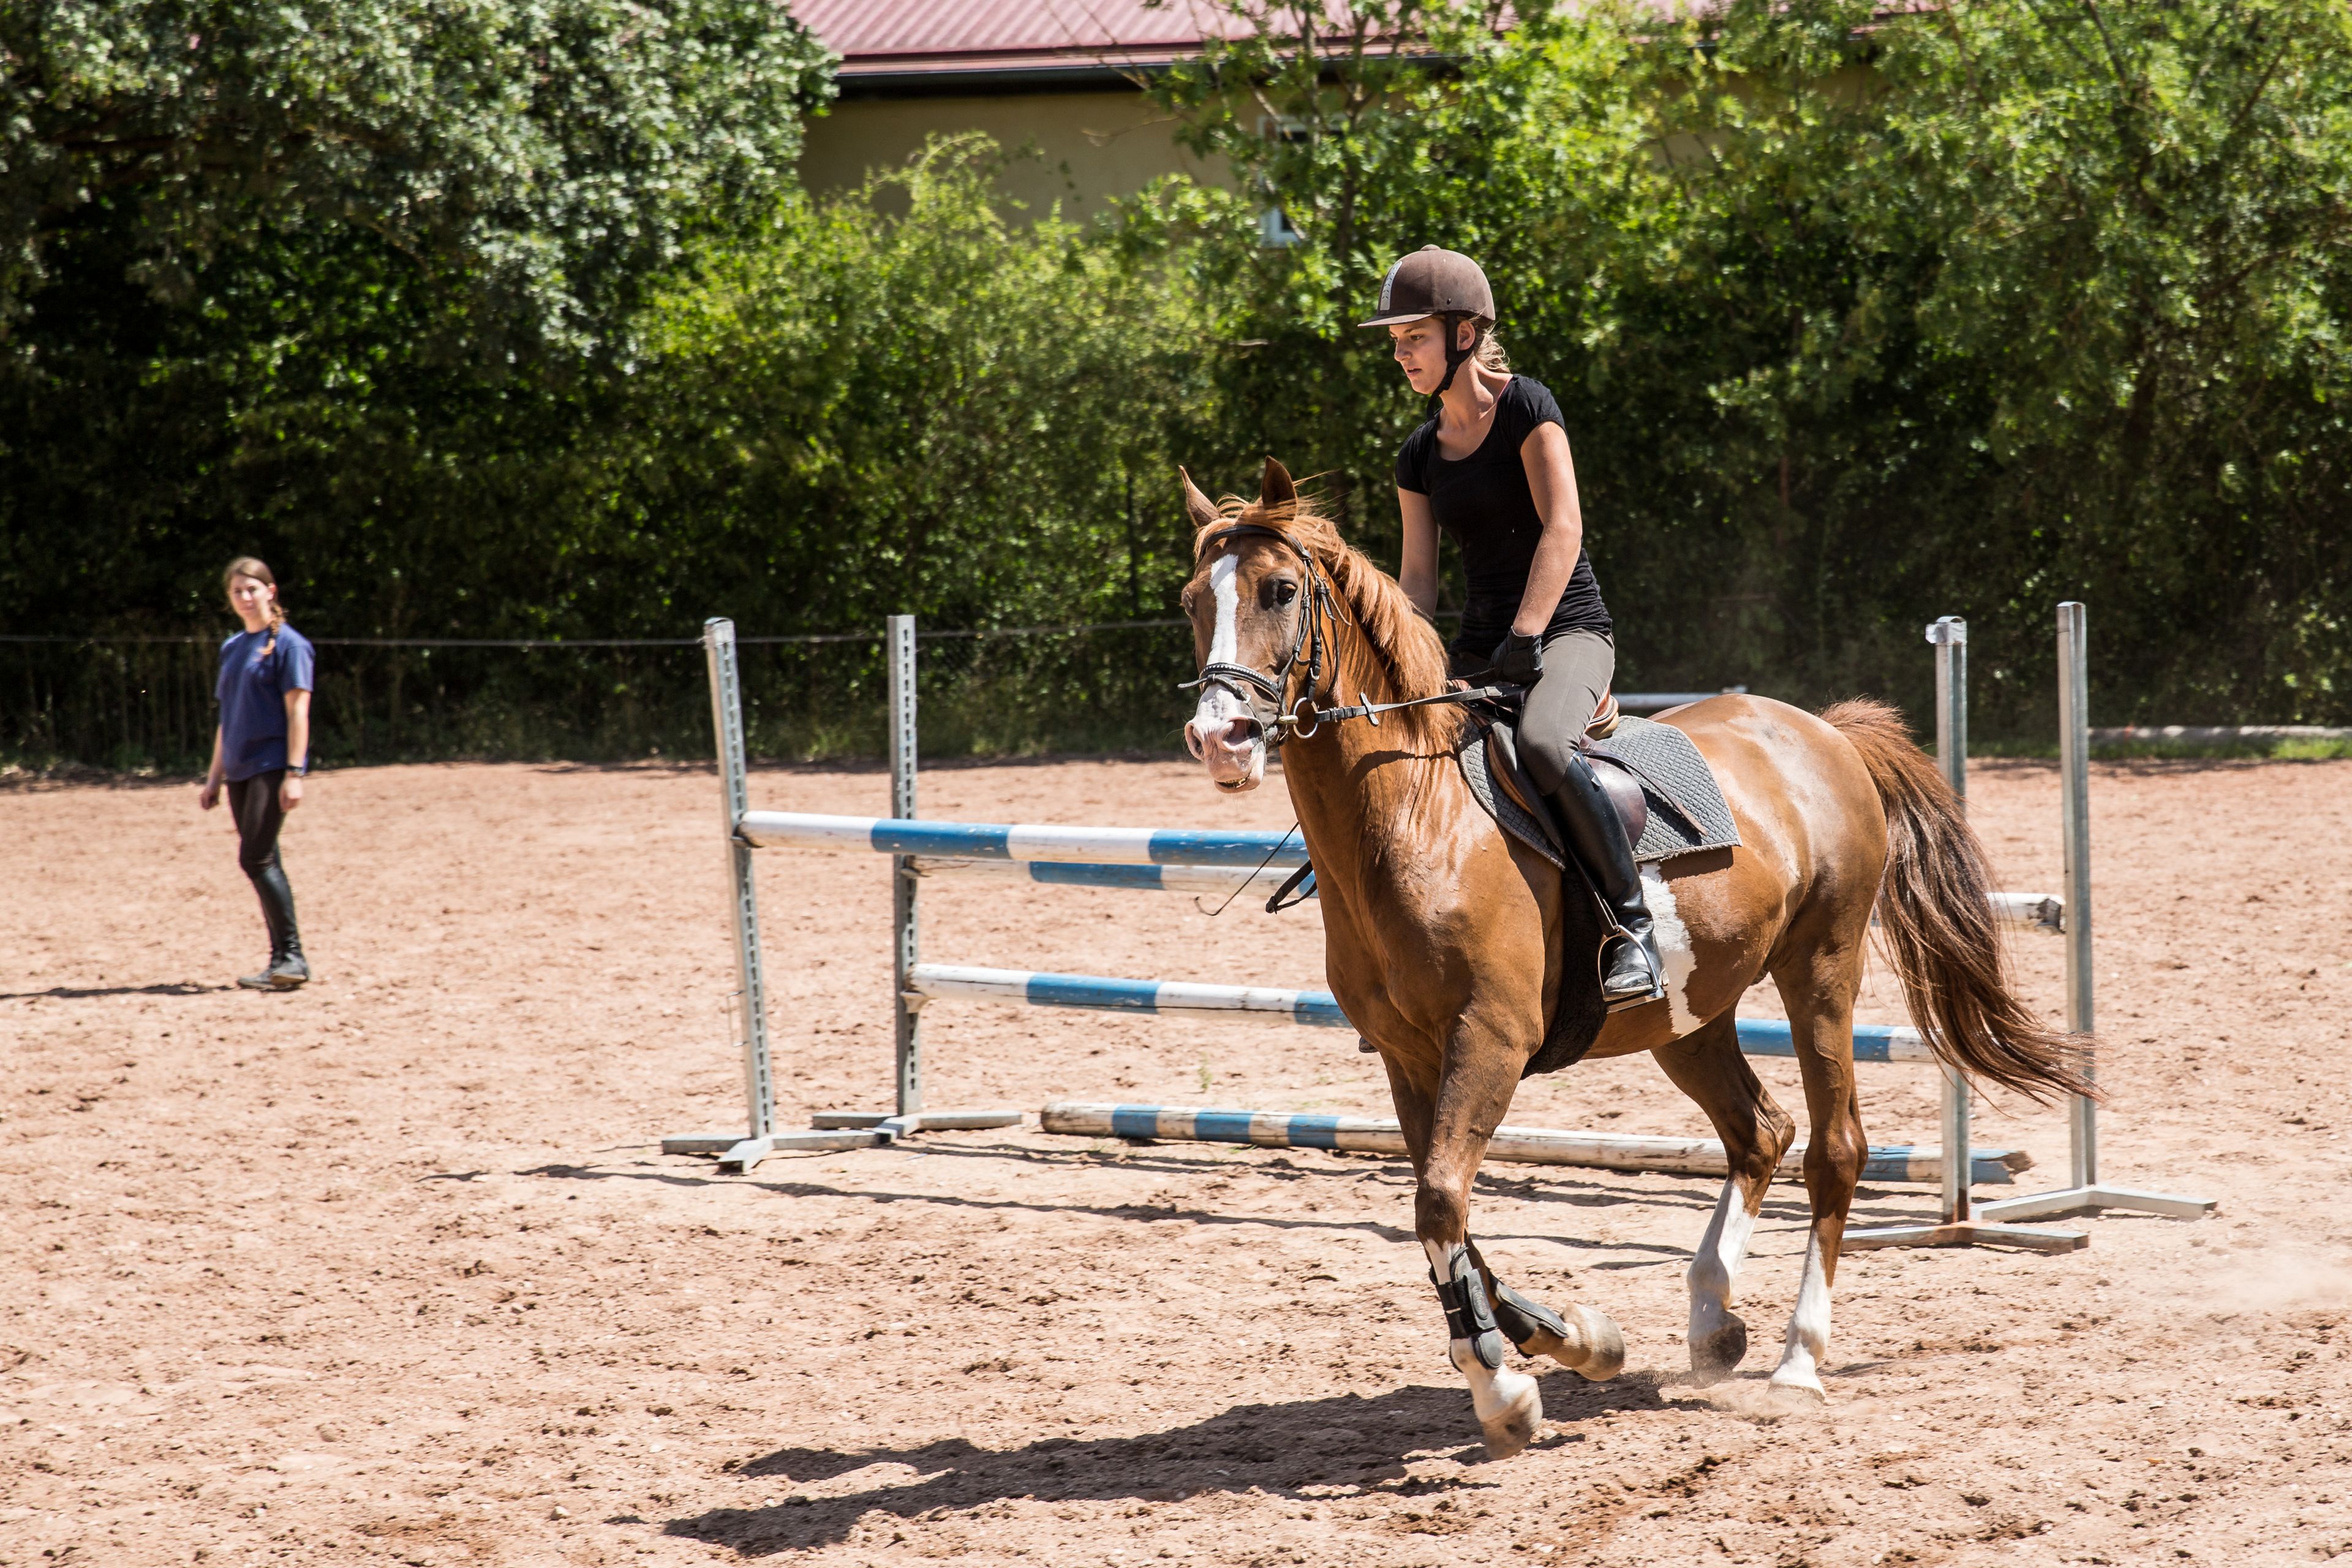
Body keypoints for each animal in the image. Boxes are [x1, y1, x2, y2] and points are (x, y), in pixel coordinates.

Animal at [1175, 458, 2091, 1457]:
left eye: (1279, 590)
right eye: (1193, 601)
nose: (1219, 741)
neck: (1415, 819)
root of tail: (1826, 732)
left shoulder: (1489, 1040)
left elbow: (1440, 1202)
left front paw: (1504, 1391)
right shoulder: (1410, 1059)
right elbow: (1444, 1213)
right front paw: (1571, 1341)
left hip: (1821, 970)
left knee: (1834, 1148)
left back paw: (1797, 1362)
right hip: (1688, 1016)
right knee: (1761, 1131)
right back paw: (1714, 1320)